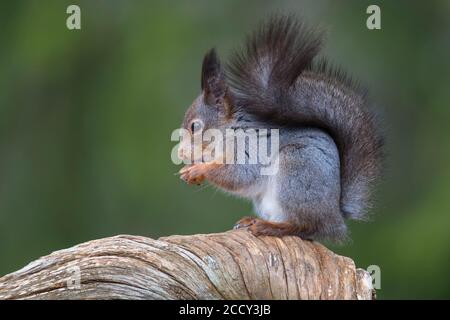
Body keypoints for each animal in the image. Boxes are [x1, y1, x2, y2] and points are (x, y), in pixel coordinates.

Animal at [177, 13, 384, 241]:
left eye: (195, 127)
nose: (180, 153)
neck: (230, 128)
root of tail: (336, 216)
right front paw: (189, 170)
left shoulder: (250, 146)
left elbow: (239, 174)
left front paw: (198, 169)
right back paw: (253, 221)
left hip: (296, 172)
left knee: (307, 226)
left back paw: (271, 227)